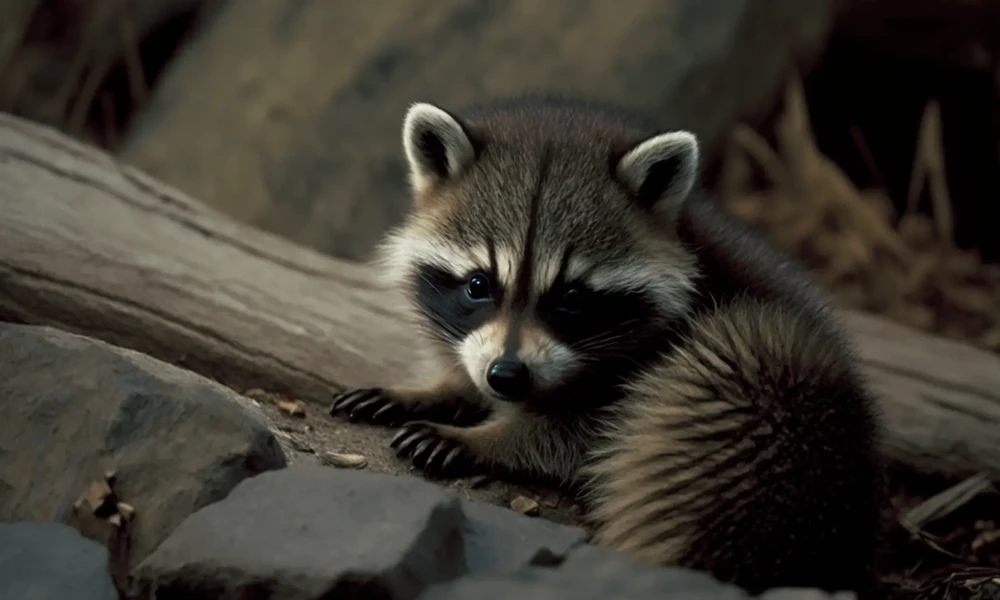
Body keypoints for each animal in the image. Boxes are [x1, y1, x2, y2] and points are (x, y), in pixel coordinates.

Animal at [329, 96, 885, 597]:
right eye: (477, 285)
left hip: (764, 383)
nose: (506, 376)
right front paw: (437, 389)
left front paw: (487, 438)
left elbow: (577, 436)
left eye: (572, 299)